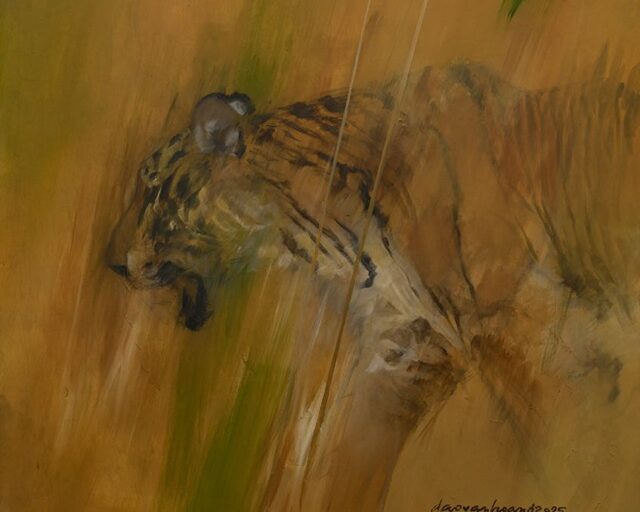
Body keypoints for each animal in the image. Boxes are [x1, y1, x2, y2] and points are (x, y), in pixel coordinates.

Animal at [107, 60, 640, 509]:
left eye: (153, 188)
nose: (110, 260)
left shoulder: (523, 330)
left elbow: (562, 445)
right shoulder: (403, 350)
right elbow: (343, 454)